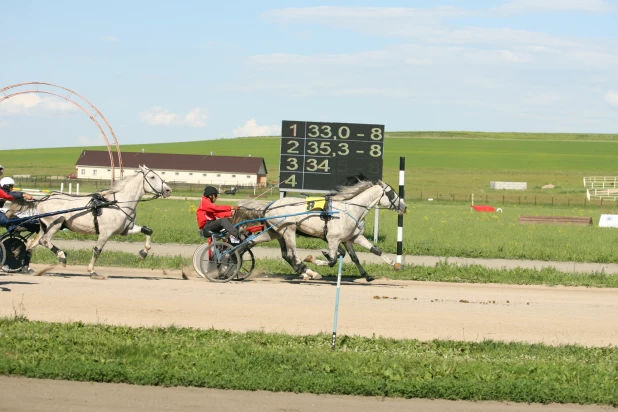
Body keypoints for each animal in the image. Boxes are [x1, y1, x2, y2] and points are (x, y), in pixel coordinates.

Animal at [16, 166, 171, 278]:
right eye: (152, 177)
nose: (168, 190)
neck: (117, 203)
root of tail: (44, 199)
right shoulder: (105, 233)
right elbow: (97, 250)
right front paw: (92, 271)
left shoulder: (125, 230)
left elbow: (148, 230)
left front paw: (143, 252)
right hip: (55, 225)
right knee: (45, 241)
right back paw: (62, 257)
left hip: (44, 227)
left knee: (31, 245)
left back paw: (27, 268)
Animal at [233, 175, 406, 282]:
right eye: (392, 193)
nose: (404, 207)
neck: (349, 209)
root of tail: (269, 205)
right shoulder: (333, 239)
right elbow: (332, 260)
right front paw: (314, 258)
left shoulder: (351, 238)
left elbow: (371, 252)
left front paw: (392, 266)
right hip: (288, 230)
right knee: (292, 255)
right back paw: (310, 272)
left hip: (273, 232)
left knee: (249, 243)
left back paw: (232, 261)